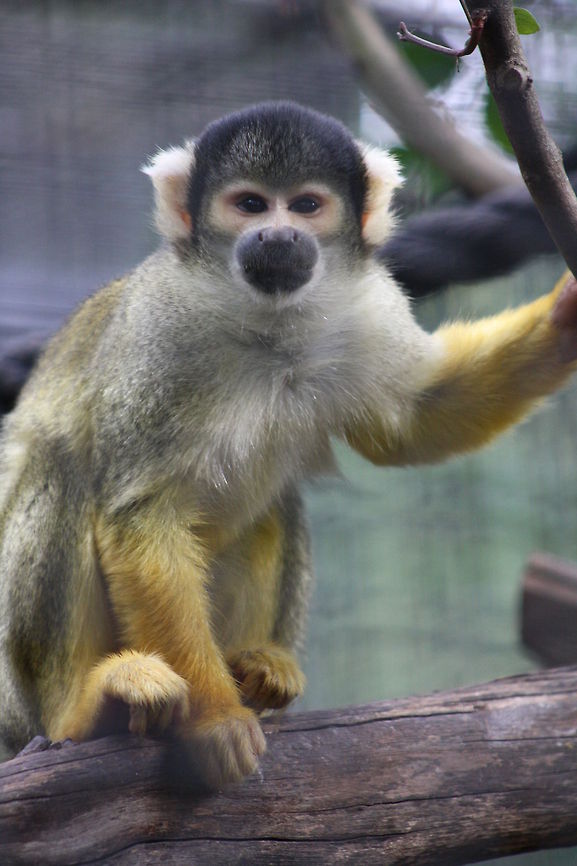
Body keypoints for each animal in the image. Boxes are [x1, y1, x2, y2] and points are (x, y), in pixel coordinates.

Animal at [1, 101, 577, 787]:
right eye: (250, 204)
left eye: (305, 205)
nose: (277, 236)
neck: (266, 321)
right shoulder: (158, 331)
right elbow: (143, 515)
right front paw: (216, 718)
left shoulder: (365, 302)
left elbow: (417, 415)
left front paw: (568, 314)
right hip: (13, 698)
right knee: (59, 467)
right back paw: (86, 710)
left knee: (275, 503)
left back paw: (257, 671)